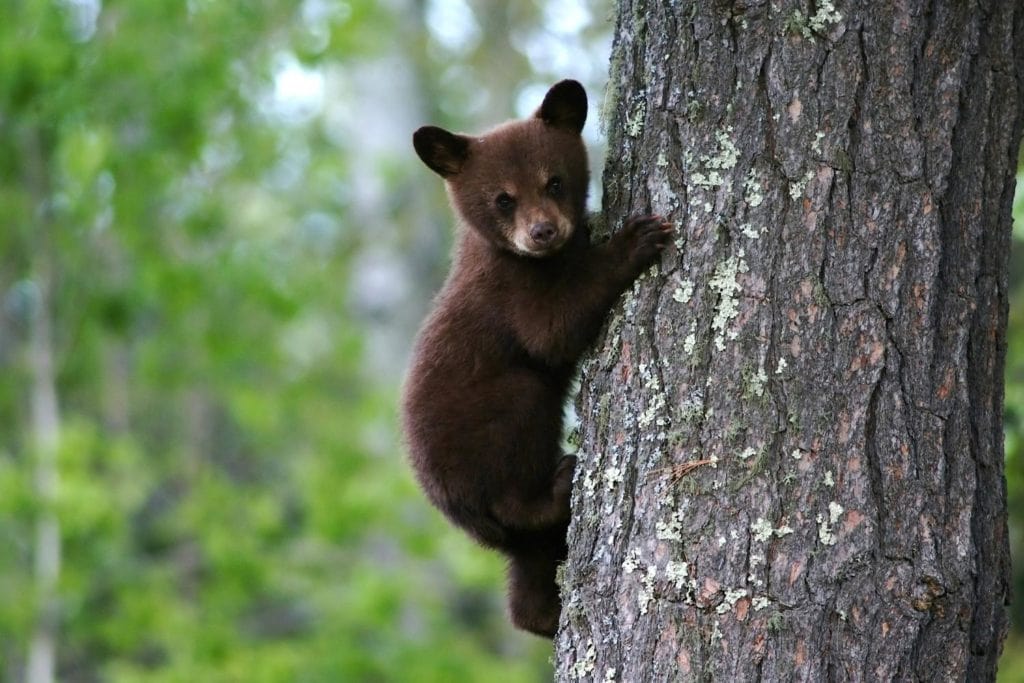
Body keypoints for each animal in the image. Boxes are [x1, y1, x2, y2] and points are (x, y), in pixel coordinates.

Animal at [401, 79, 673, 638]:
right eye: (503, 199)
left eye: (555, 182)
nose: (543, 231)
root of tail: (456, 511)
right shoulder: (509, 292)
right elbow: (552, 330)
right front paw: (634, 240)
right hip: (491, 428)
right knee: (518, 459)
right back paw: (559, 483)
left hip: (516, 543)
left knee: (527, 572)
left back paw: (544, 615)